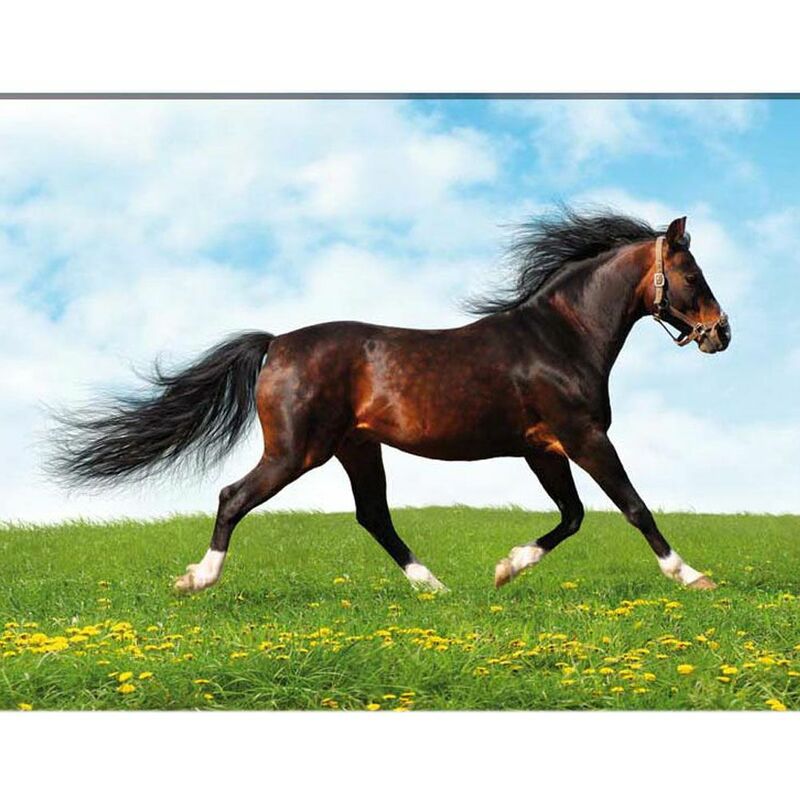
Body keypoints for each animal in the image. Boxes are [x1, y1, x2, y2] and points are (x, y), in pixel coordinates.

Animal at [51, 207, 731, 594]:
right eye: (692, 275)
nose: (721, 333)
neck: (560, 337)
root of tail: (275, 344)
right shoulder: (584, 437)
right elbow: (632, 507)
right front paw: (693, 576)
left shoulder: (543, 449)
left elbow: (572, 517)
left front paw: (504, 569)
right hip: (296, 451)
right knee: (233, 497)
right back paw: (197, 579)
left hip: (356, 449)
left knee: (373, 516)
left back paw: (433, 586)